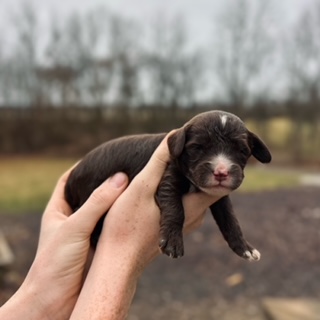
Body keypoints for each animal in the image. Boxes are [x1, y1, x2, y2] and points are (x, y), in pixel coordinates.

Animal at [65, 110, 272, 260]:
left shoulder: (218, 197)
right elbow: (175, 209)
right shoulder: (168, 183)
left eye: (242, 151)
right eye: (197, 147)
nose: (221, 172)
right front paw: (172, 241)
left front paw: (244, 248)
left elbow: (230, 219)